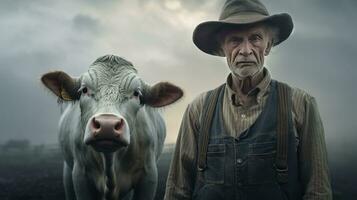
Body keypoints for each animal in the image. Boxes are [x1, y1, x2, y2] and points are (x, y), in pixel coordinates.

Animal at [40, 54, 182, 200]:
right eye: (84, 90)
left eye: (136, 93)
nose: (106, 125)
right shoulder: (80, 175)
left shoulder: (149, 175)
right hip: (68, 172)